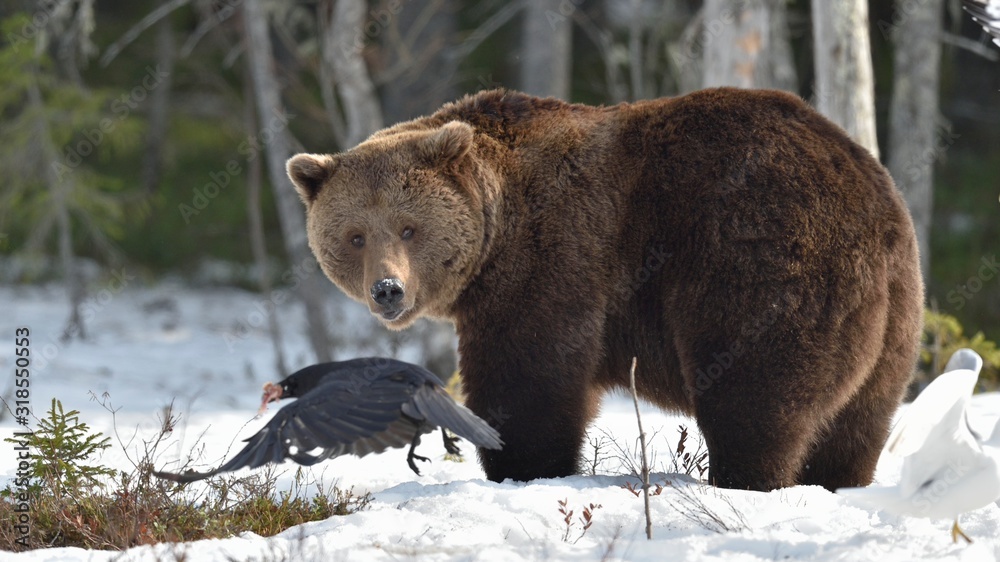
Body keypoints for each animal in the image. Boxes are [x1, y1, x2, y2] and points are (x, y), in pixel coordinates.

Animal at [285, 88, 924, 491]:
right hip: (896, 319)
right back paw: (836, 482)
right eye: (355, 235)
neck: (496, 227)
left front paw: (520, 464)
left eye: (409, 228)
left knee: (755, 394)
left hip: (758, 260)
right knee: (859, 420)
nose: (388, 290)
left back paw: (746, 480)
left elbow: (531, 377)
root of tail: (874, 201)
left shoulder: (555, 258)